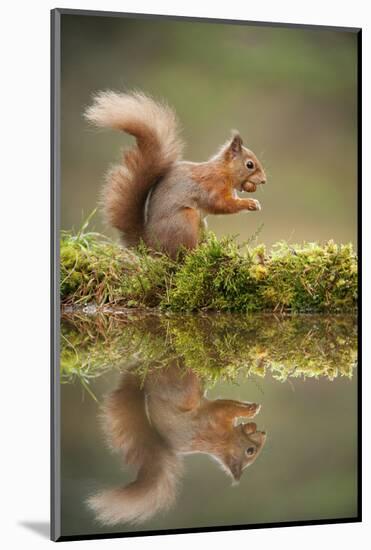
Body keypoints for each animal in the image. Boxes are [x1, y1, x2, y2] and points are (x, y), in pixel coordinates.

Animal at [85, 92, 268, 258]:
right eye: (249, 165)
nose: (264, 180)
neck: (224, 172)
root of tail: (152, 245)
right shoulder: (213, 186)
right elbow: (221, 204)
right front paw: (250, 203)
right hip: (185, 220)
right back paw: (196, 254)